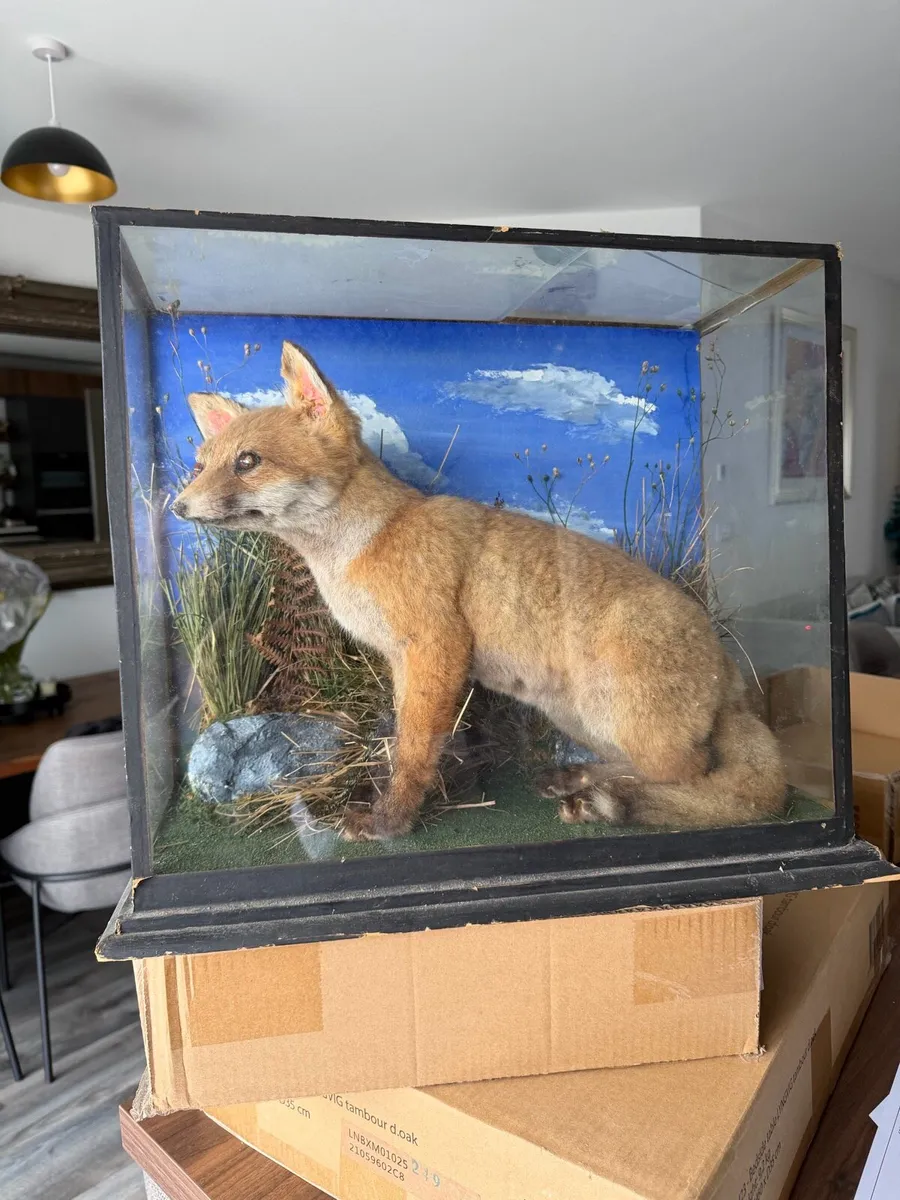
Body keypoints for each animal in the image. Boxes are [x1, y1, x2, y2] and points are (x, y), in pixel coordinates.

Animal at [171, 340, 786, 841]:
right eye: (201, 465)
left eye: (248, 461)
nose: (176, 506)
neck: (366, 546)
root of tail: (729, 666)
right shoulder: (405, 662)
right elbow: (406, 744)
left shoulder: (436, 648)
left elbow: (414, 752)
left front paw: (390, 822)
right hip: (582, 715)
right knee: (652, 769)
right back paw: (581, 781)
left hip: (627, 715)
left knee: (701, 780)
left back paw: (608, 801)